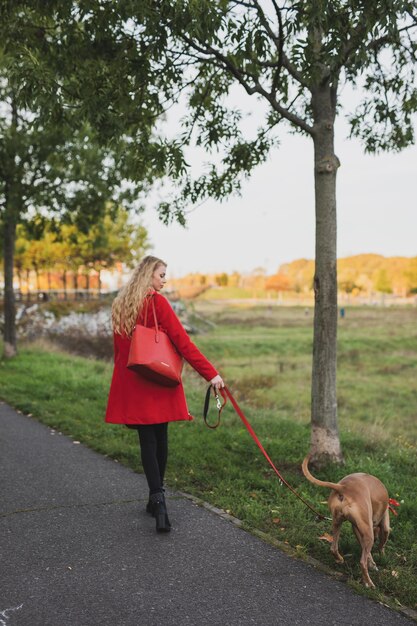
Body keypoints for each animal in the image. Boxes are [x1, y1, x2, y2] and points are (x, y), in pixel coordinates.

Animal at [300, 454, 388, 584]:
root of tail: (344, 487)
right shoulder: (381, 524)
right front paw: (378, 558)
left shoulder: (357, 528)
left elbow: (365, 550)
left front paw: (372, 563)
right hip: (368, 534)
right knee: (362, 562)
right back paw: (369, 583)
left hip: (337, 522)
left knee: (333, 548)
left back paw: (340, 559)